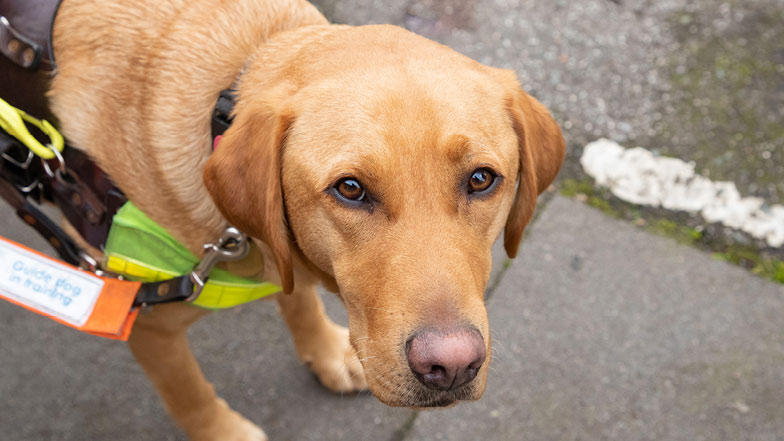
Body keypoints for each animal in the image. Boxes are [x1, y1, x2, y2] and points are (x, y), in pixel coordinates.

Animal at [45, 0, 565, 439]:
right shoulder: (139, 317)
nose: (452, 366)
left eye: (481, 179)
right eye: (350, 189)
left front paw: (326, 353)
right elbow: (190, 396)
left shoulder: (284, 253)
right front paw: (224, 432)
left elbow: (298, 299)